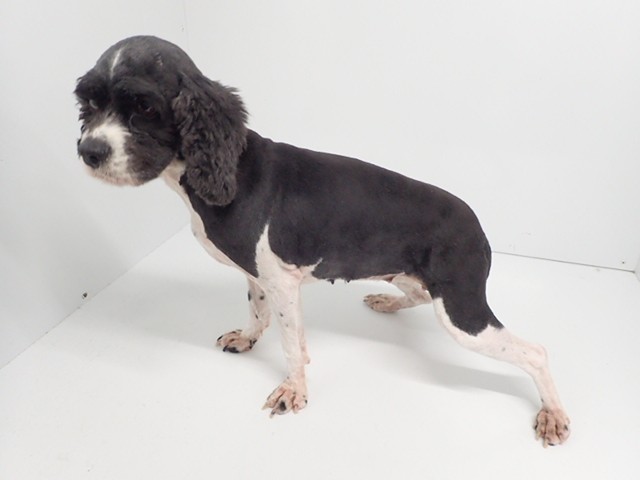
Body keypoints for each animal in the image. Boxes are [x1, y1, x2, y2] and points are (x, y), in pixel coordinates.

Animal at [75, 36, 570, 446]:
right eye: (90, 102)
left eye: (144, 107)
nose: (88, 151)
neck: (229, 169)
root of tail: (477, 225)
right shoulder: (258, 276)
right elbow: (256, 313)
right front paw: (247, 338)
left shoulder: (283, 283)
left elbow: (293, 345)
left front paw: (292, 390)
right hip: (421, 284)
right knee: (416, 295)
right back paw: (387, 302)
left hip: (462, 313)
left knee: (537, 352)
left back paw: (552, 412)